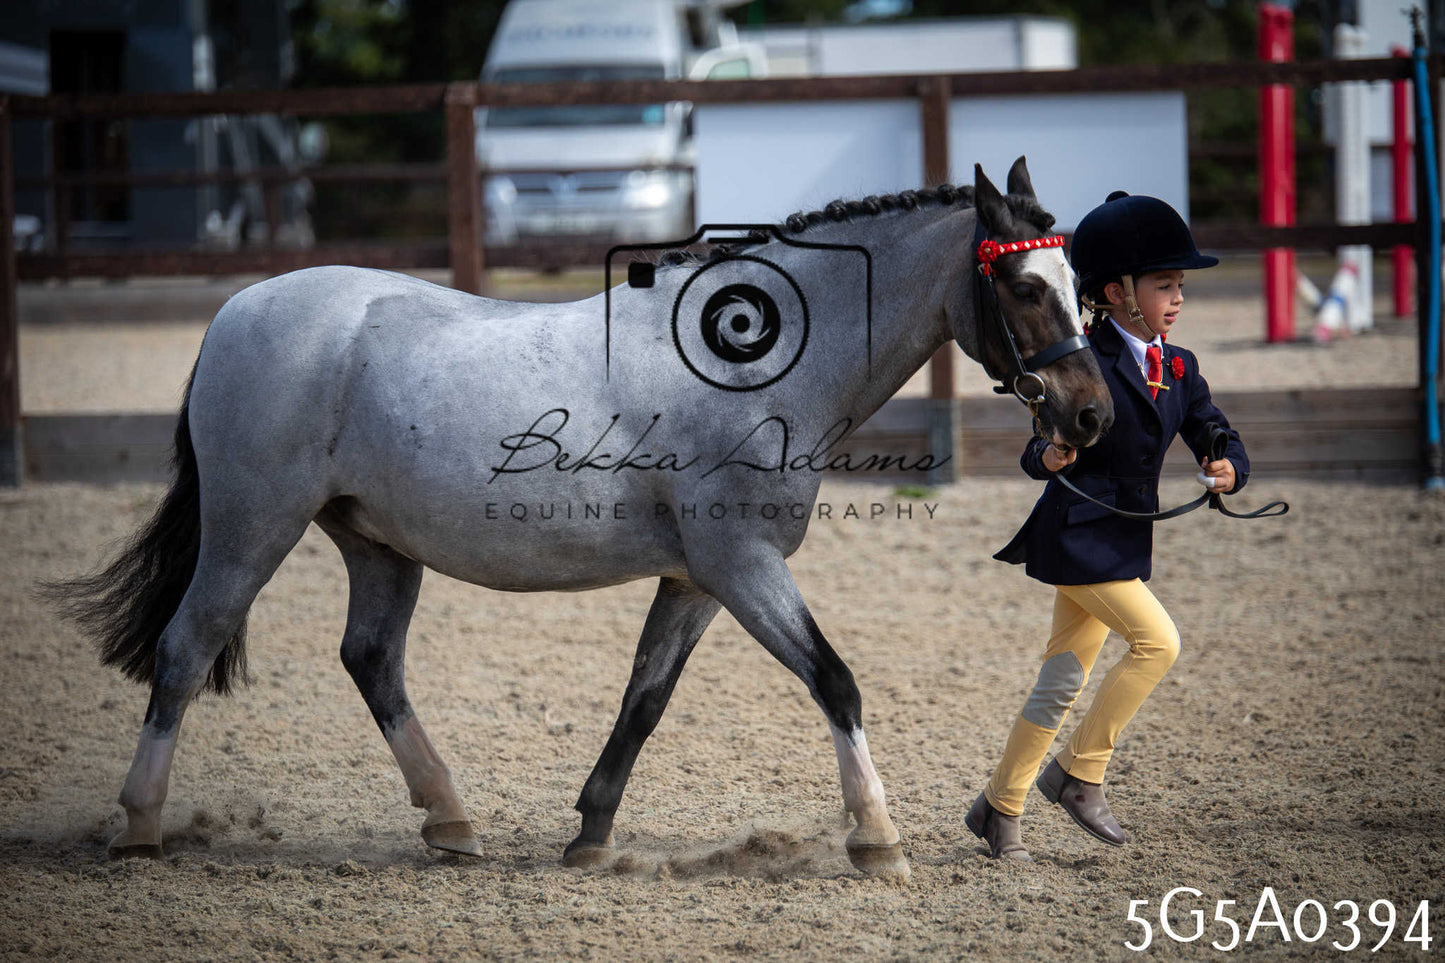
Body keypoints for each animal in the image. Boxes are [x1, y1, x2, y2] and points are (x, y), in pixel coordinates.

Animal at [49, 156, 1112, 880]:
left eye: (1079, 290)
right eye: (1024, 285)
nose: (1091, 414)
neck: (754, 361)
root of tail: (239, 310)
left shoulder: (696, 577)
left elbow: (644, 699)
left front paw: (591, 835)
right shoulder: (743, 563)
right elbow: (836, 682)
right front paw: (877, 839)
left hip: (376, 544)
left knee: (371, 662)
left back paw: (451, 823)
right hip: (251, 526)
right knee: (187, 647)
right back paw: (139, 825)